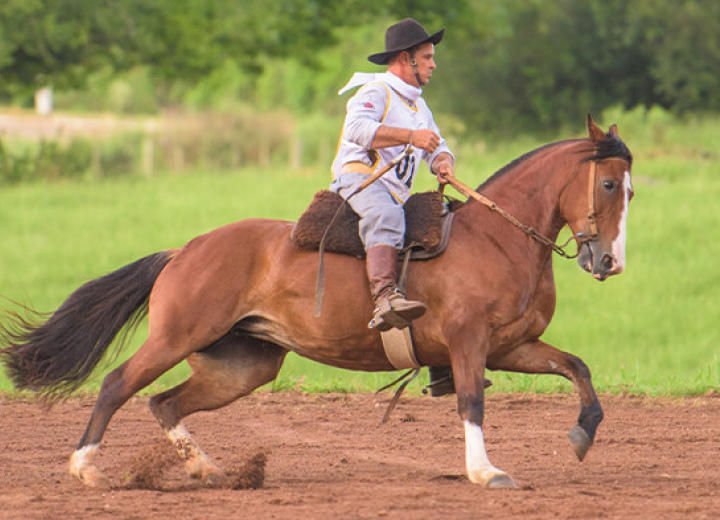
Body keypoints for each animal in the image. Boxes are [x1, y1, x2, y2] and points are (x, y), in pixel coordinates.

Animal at [0, 116, 632, 490]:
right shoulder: (468, 344)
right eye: (608, 184)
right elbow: (472, 402)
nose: (608, 262)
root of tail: (186, 249)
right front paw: (484, 471)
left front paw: (582, 434)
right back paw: (85, 466)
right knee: (117, 384)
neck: (499, 238)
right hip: (176, 338)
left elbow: (577, 368)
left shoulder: (512, 346)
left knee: (165, 402)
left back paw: (208, 468)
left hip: (242, 365)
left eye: (630, 188)